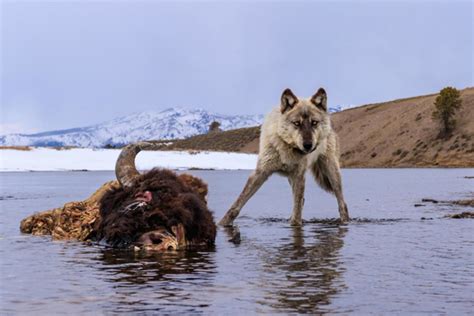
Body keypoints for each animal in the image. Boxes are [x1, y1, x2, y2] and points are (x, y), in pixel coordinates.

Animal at [218, 86, 348, 226]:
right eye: (297, 123)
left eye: (314, 123)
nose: (308, 145)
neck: (287, 148)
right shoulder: (261, 172)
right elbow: (238, 203)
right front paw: (222, 223)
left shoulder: (299, 176)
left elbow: (297, 214)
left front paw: (295, 224)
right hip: (293, 178)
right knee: (302, 201)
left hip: (331, 172)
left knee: (342, 203)